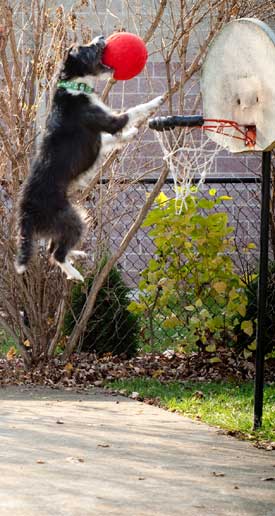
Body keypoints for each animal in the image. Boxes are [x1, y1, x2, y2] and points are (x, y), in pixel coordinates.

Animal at [15, 35, 164, 282]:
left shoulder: (101, 138)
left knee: (52, 250)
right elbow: (132, 111)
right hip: (72, 219)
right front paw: (156, 102)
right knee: (56, 254)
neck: (73, 86)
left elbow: (112, 139)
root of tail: (25, 212)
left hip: (65, 223)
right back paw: (75, 273)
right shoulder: (110, 121)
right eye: (87, 48)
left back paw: (76, 255)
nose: (102, 37)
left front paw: (130, 135)